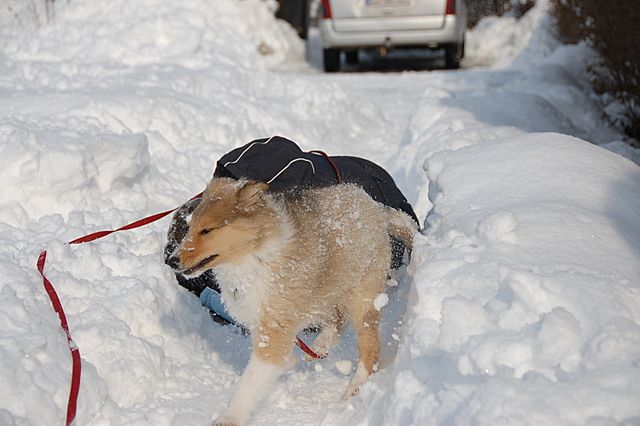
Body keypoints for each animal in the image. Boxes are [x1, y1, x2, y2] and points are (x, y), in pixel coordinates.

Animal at [171, 178, 420, 424]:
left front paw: (229, 417)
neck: (253, 257)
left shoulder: (273, 329)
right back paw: (320, 346)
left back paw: (354, 386)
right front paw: (290, 360)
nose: (172, 260)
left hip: (362, 296)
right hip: (328, 288)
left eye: (207, 230)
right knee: (337, 318)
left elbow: (249, 382)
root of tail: (376, 207)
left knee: (369, 346)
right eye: (190, 227)